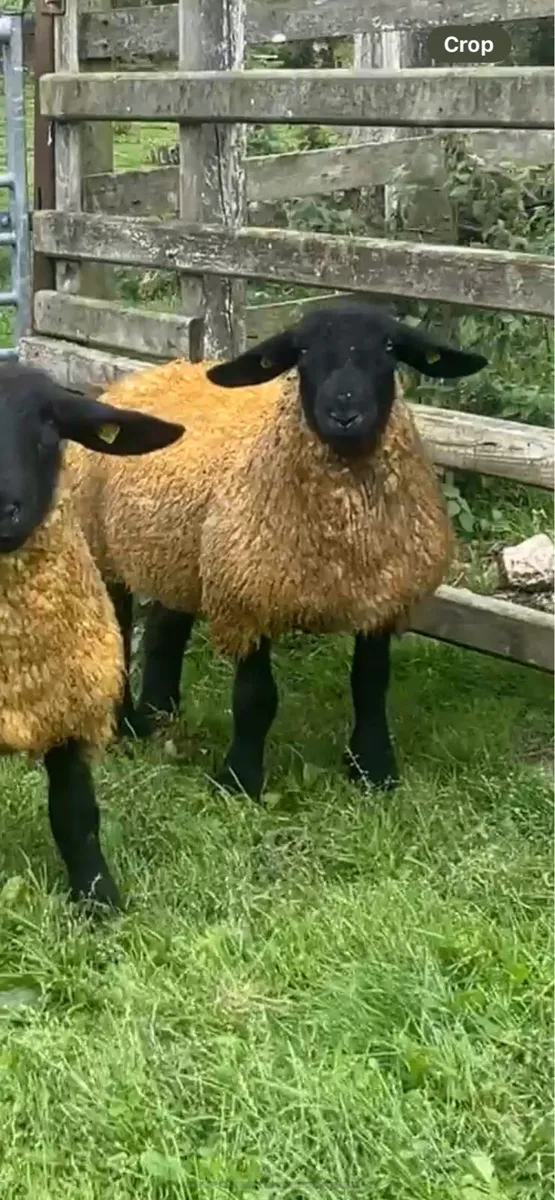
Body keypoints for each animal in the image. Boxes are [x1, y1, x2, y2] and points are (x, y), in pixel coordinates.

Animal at [65, 301, 487, 800]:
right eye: (301, 351)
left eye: (389, 347)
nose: (345, 413)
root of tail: (155, 371)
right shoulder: (248, 597)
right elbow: (256, 699)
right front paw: (239, 779)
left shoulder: (381, 599)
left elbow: (370, 687)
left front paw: (373, 770)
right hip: (103, 543)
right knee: (122, 626)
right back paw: (124, 725)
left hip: (180, 550)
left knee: (165, 630)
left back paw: (158, 714)